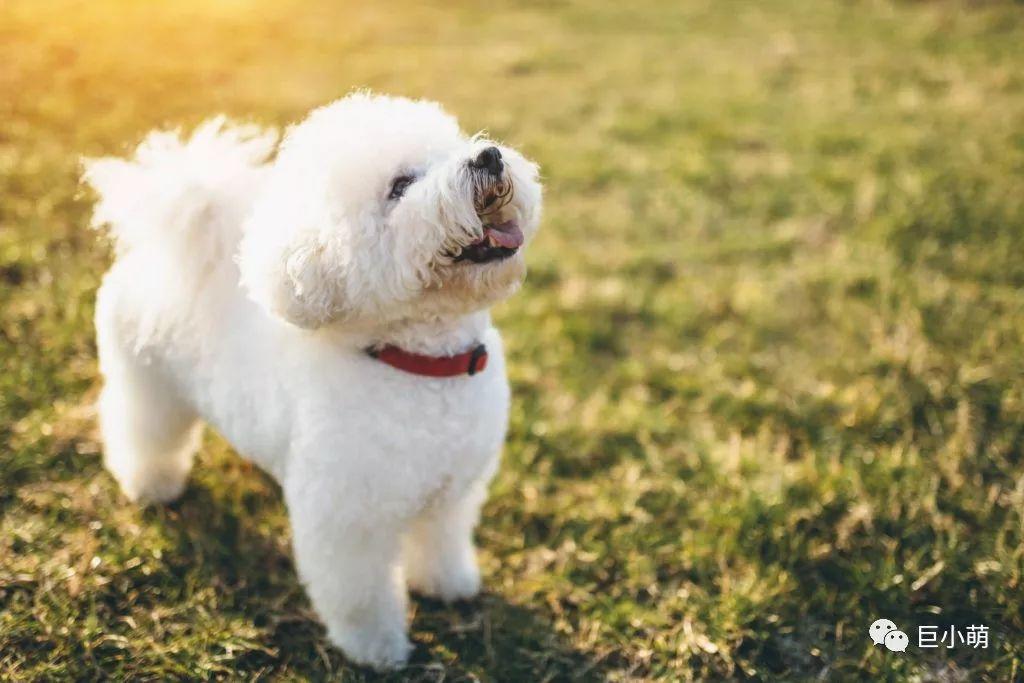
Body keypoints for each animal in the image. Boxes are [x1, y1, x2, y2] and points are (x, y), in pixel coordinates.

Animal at [82, 93, 544, 671]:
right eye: (400, 185)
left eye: (453, 147)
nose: (488, 157)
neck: (417, 364)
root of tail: (155, 251)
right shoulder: (348, 519)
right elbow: (360, 594)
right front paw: (377, 649)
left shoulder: (452, 489)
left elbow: (440, 542)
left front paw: (448, 585)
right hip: (148, 383)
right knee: (142, 431)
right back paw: (152, 485)